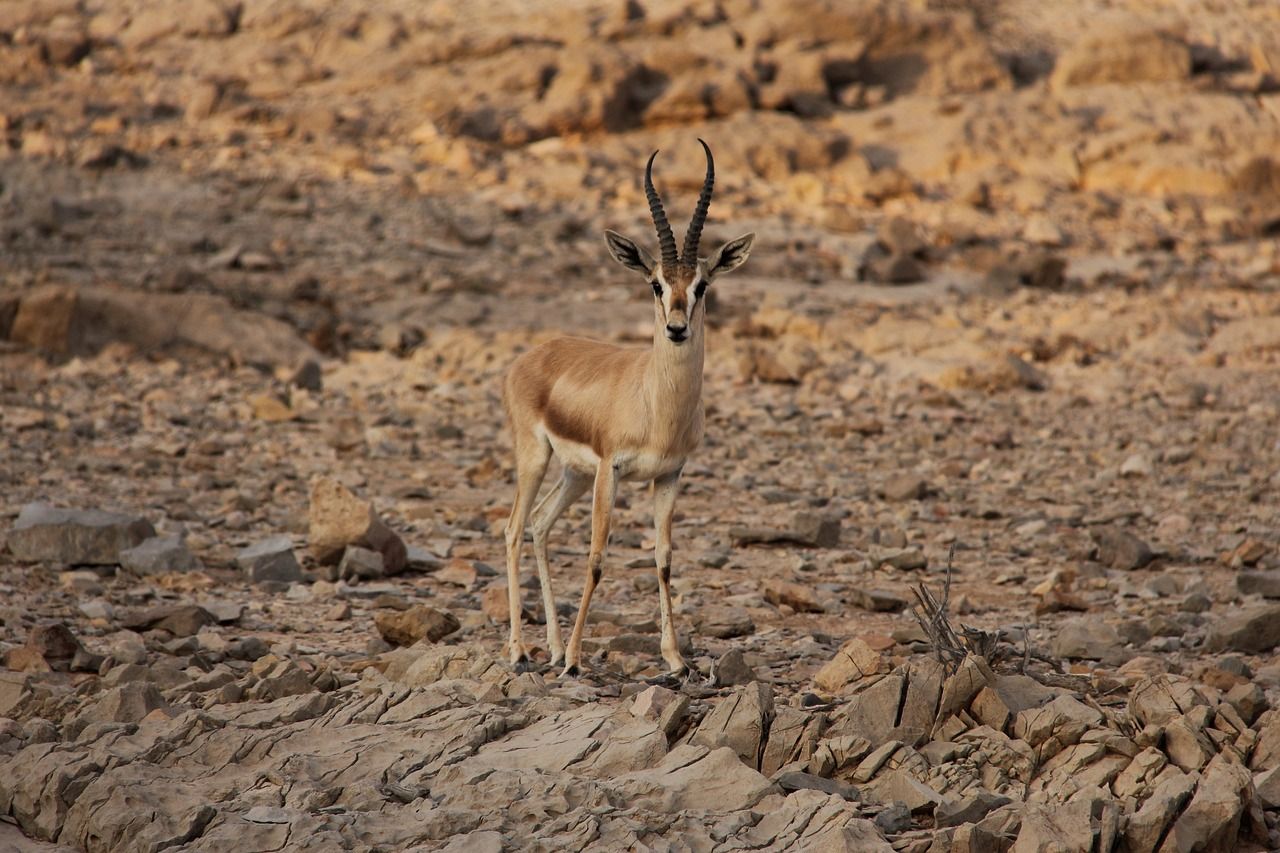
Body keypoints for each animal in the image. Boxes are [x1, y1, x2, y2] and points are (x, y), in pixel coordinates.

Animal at [501, 140, 754, 678]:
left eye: (702, 285)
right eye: (655, 283)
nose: (677, 328)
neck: (657, 405)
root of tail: (531, 355)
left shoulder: (670, 474)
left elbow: (663, 559)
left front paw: (675, 659)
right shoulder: (610, 471)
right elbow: (597, 557)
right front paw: (577, 661)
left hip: (573, 474)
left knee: (539, 524)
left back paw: (552, 646)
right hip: (536, 457)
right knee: (513, 529)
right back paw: (521, 651)